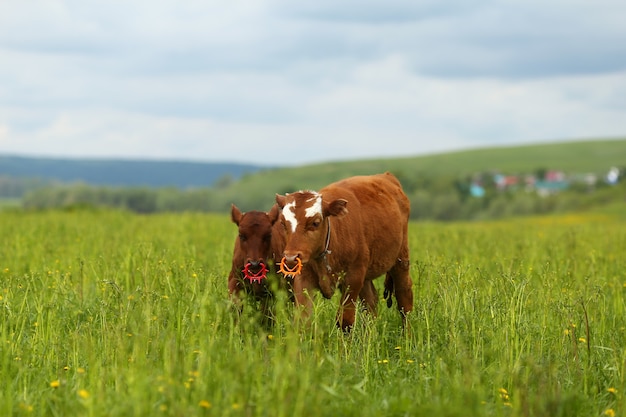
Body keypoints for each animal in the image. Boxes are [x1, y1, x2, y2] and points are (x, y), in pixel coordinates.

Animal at [274, 171, 412, 330]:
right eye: (283, 223)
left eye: (315, 223)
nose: (291, 257)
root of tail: (387, 176)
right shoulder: (304, 278)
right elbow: (303, 320)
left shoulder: (353, 279)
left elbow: (345, 321)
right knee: (371, 302)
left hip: (400, 260)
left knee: (404, 299)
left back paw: (407, 333)